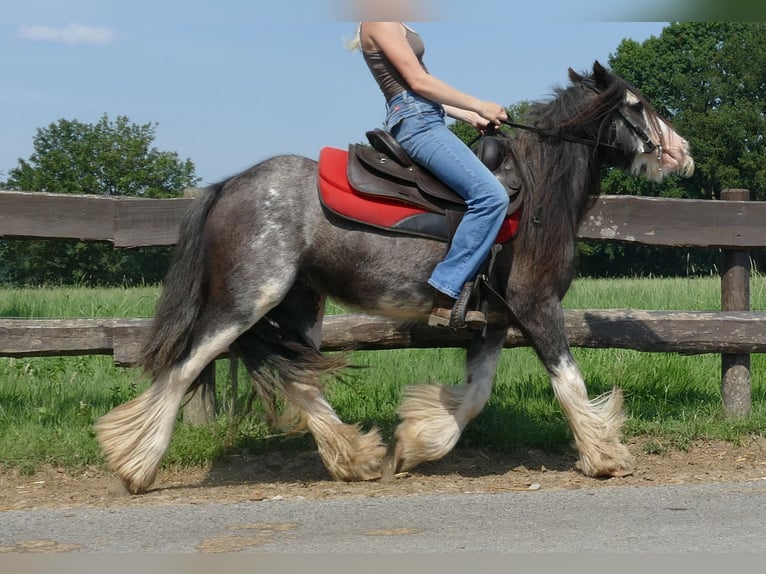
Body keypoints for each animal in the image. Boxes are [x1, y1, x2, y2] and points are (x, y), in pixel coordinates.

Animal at [96, 62, 696, 496]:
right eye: (636, 106)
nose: (683, 153)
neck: (535, 192)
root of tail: (227, 186)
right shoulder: (535, 304)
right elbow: (568, 381)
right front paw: (605, 456)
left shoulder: (494, 319)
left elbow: (475, 396)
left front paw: (415, 443)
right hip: (244, 301)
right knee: (182, 368)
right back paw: (136, 465)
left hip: (299, 305)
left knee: (300, 378)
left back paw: (356, 458)